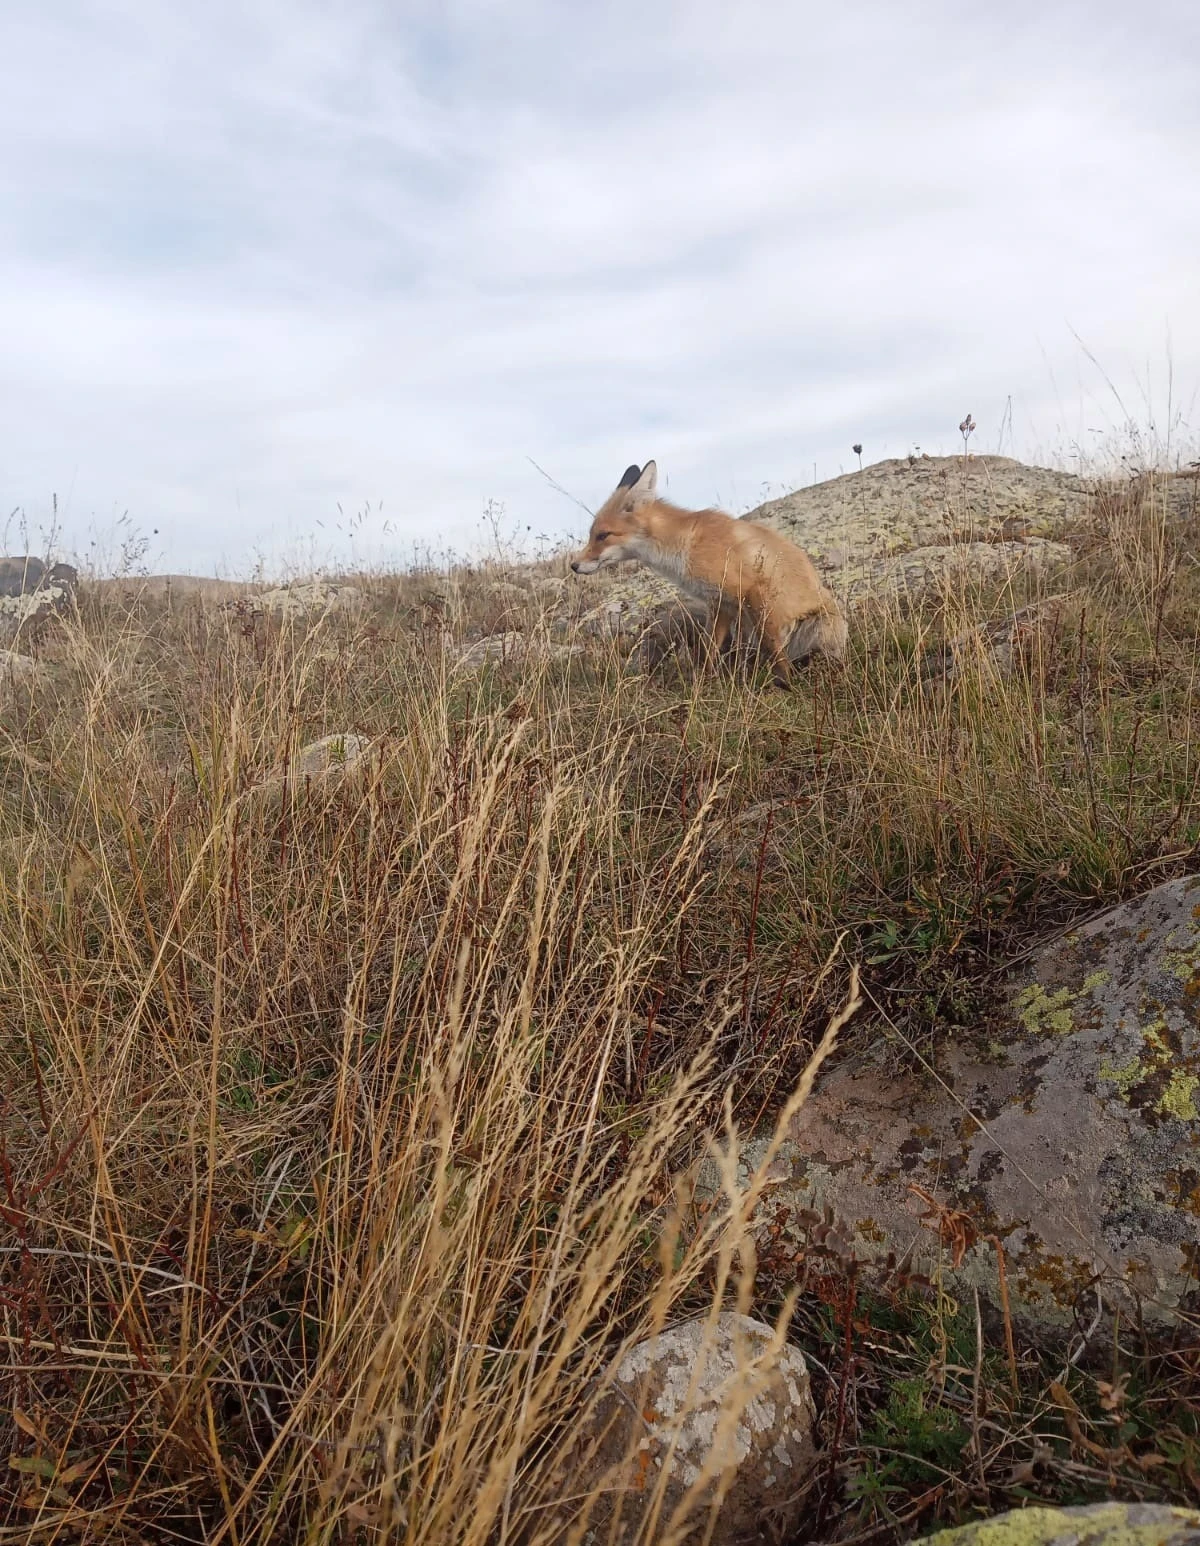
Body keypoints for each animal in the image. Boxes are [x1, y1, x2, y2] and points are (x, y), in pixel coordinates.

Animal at [569, 451, 841, 683]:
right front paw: (703, 683)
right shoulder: (720, 603)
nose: (573, 565)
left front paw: (787, 683)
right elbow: (709, 650)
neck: (684, 546)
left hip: (819, 626)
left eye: (603, 536)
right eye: (592, 535)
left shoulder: (751, 589)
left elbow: (773, 645)